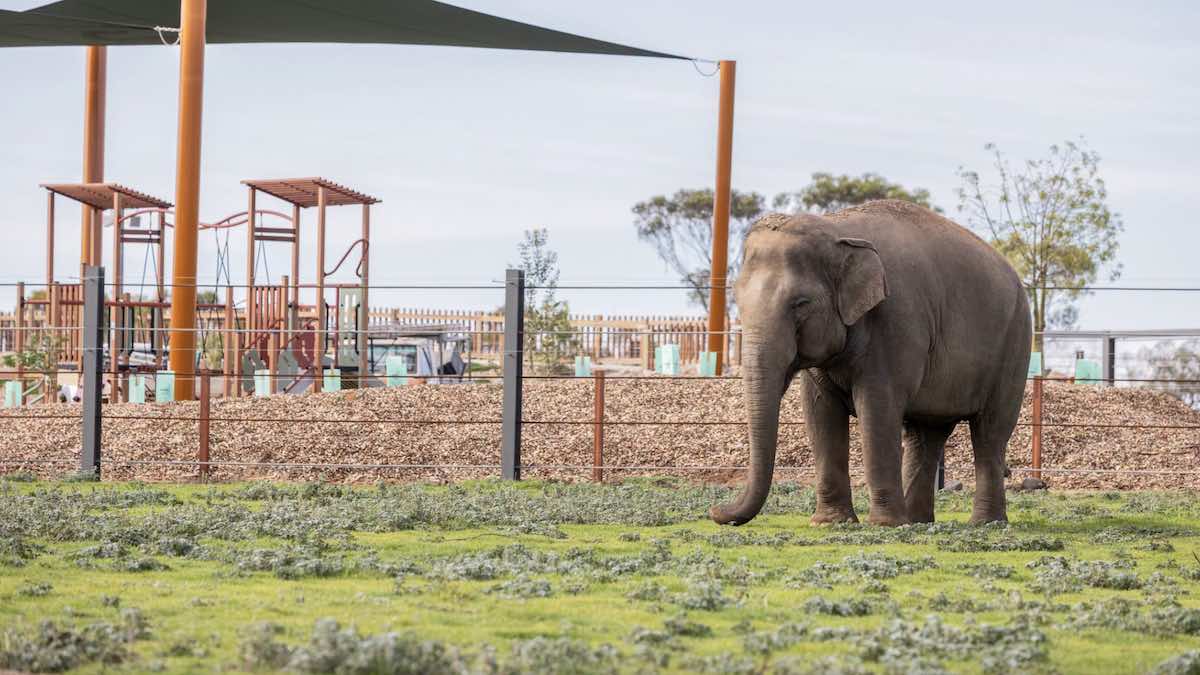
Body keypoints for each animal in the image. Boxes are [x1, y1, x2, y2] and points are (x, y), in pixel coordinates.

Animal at [709, 200, 1031, 527]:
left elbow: (877, 408)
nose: (715, 511)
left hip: (1015, 344)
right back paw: (917, 522)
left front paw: (883, 524)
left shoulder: (896, 322)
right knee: (926, 435)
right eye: (739, 301)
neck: (838, 229)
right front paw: (831, 522)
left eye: (800, 304)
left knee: (990, 431)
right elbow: (819, 412)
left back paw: (985, 523)